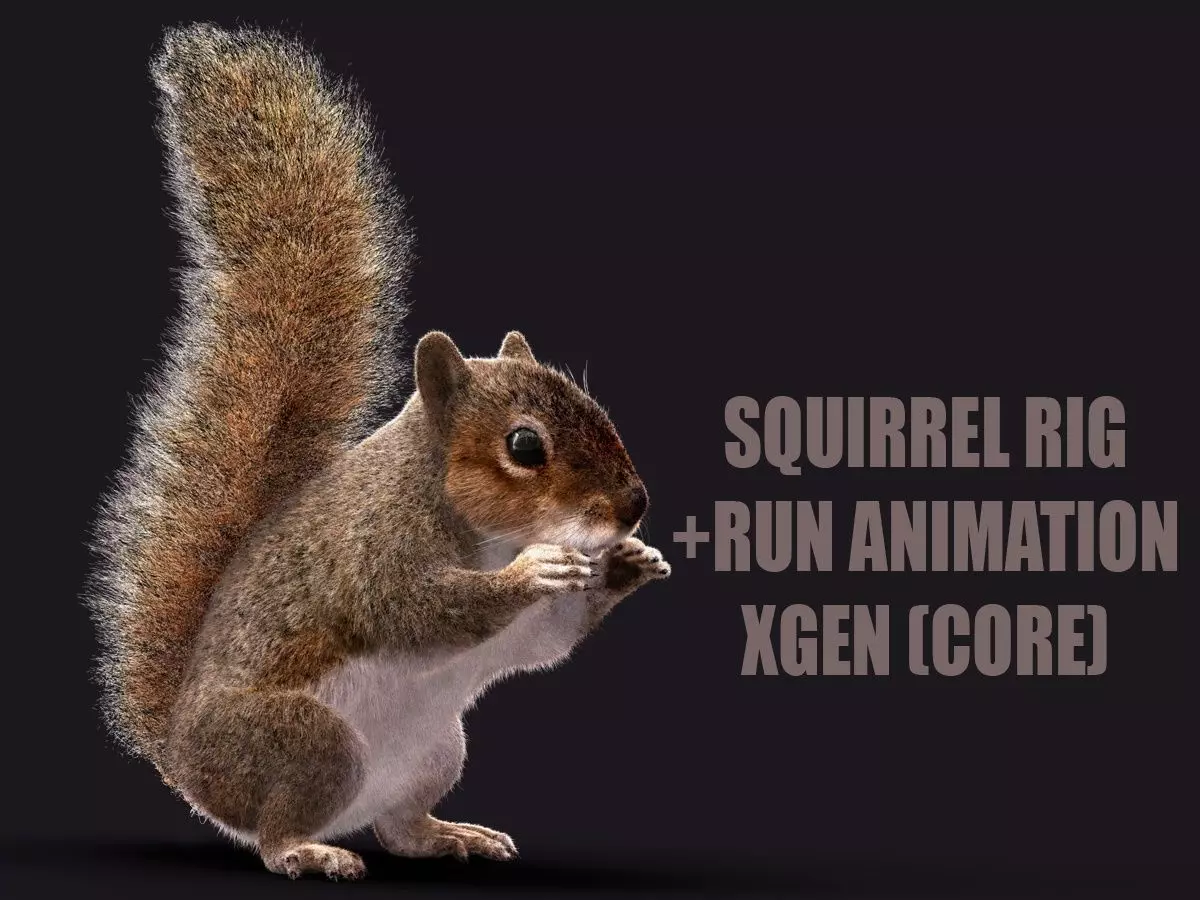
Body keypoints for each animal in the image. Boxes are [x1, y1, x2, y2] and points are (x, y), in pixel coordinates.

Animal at [87, 23, 670, 881]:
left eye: (598, 410)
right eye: (524, 446)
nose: (633, 507)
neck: (483, 529)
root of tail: (188, 764)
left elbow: (543, 640)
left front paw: (629, 563)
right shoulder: (373, 553)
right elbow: (421, 608)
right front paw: (536, 572)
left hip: (436, 749)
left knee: (398, 826)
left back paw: (449, 835)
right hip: (309, 744)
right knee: (273, 835)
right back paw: (309, 851)